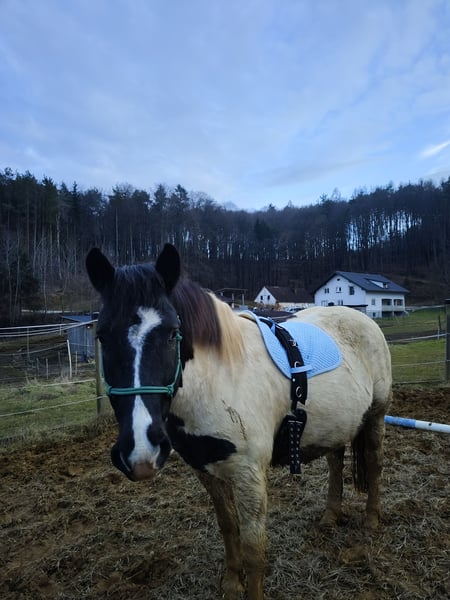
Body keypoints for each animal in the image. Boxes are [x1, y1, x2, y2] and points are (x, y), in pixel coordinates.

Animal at [86, 243, 392, 600]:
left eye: (173, 333)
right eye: (102, 336)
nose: (141, 450)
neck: (219, 379)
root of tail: (361, 317)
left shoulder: (250, 474)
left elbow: (253, 548)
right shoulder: (206, 469)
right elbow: (228, 527)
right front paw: (232, 583)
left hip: (376, 415)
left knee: (374, 462)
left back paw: (372, 519)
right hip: (335, 423)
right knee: (335, 461)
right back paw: (331, 515)